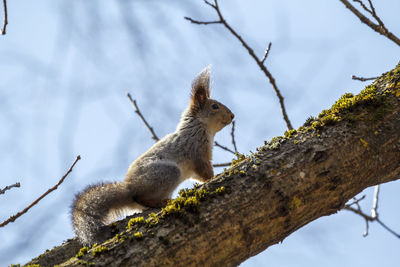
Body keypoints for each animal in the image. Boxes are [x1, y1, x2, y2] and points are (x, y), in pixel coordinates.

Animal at [72, 66, 234, 245]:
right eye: (214, 106)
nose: (232, 116)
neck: (200, 128)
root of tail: (130, 187)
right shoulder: (196, 151)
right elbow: (204, 171)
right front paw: (214, 177)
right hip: (168, 173)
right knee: (140, 197)